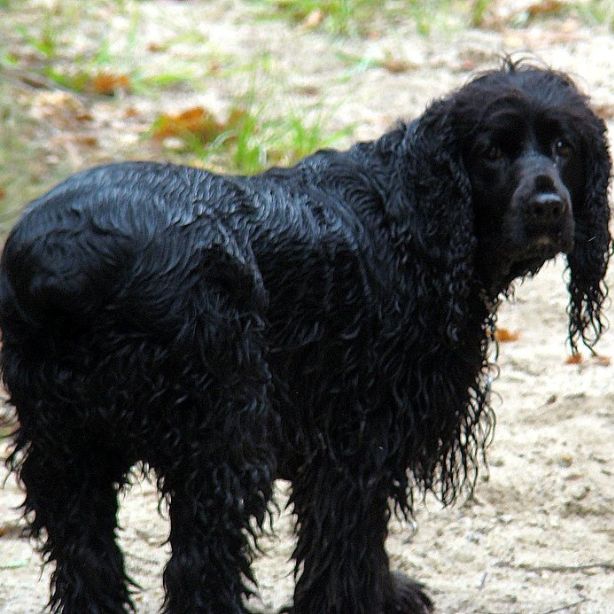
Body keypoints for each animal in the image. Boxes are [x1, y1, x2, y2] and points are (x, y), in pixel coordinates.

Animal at [1, 62, 612, 614]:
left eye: (563, 146)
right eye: (491, 152)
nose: (548, 206)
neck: (418, 220)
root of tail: (66, 256)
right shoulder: (358, 433)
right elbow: (351, 539)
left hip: (66, 448)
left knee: (86, 552)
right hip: (222, 437)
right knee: (199, 564)